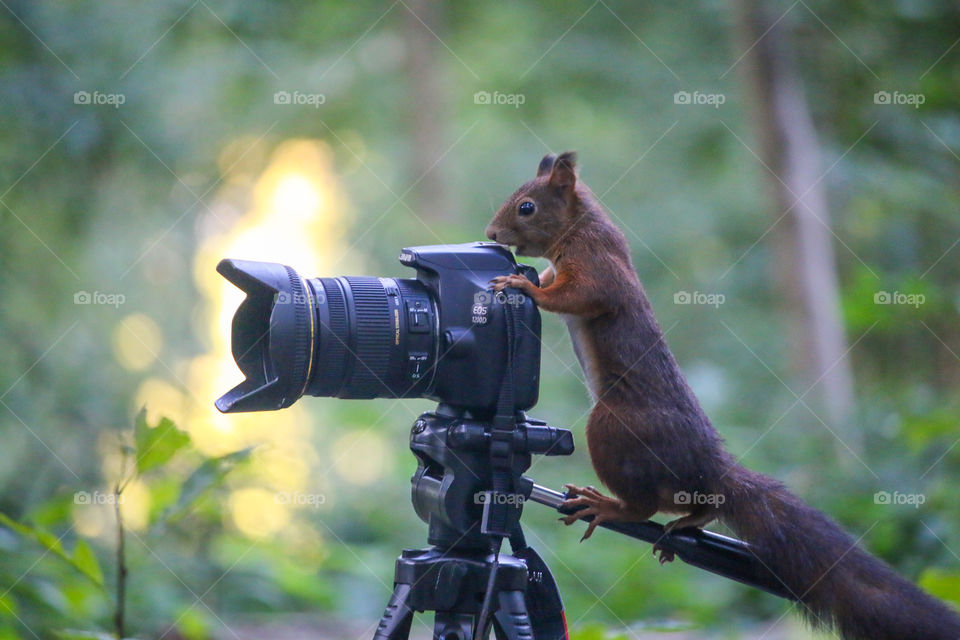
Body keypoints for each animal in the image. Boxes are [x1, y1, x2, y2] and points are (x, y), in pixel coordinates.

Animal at [488, 151, 960, 640]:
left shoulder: (597, 263)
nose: (492, 234)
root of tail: (710, 466)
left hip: (612, 426)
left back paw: (609, 506)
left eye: (526, 207)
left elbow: (579, 295)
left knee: (643, 504)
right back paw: (690, 520)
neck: (580, 226)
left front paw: (523, 287)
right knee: (697, 504)